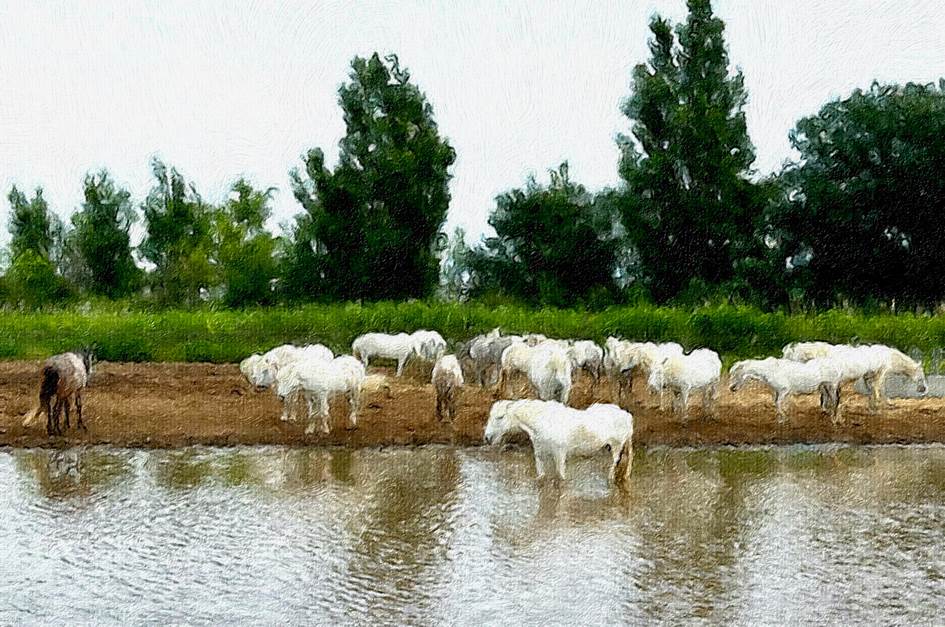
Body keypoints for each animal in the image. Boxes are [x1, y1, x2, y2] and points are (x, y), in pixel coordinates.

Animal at [484, 400, 632, 484]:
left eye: (500, 417)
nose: (487, 437)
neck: (543, 421)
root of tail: (626, 414)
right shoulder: (540, 455)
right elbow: (541, 477)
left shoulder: (559, 454)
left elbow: (561, 477)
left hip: (617, 446)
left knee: (614, 464)